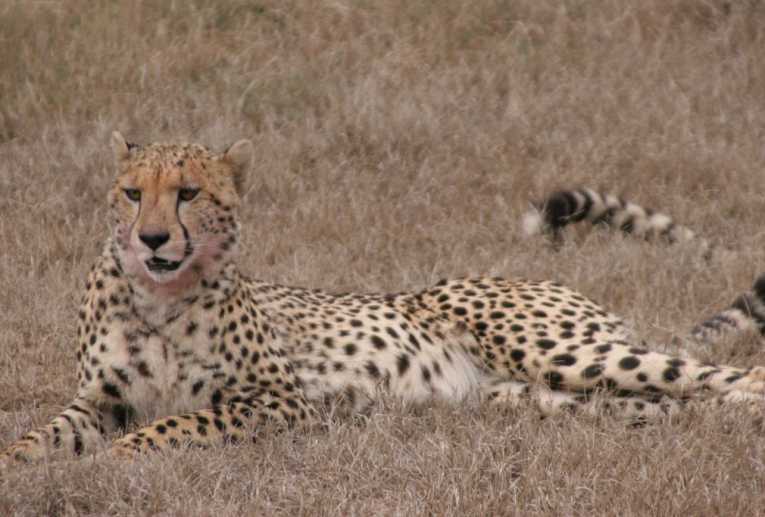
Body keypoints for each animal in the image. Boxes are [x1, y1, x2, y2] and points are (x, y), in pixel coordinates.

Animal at [3, 134, 765, 466]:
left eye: (188, 192)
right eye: (134, 193)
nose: (153, 237)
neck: (158, 296)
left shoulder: (280, 401)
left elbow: (171, 426)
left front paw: (114, 459)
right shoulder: (98, 399)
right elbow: (45, 432)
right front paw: (22, 459)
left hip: (566, 353)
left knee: (734, 374)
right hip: (544, 398)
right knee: (675, 403)